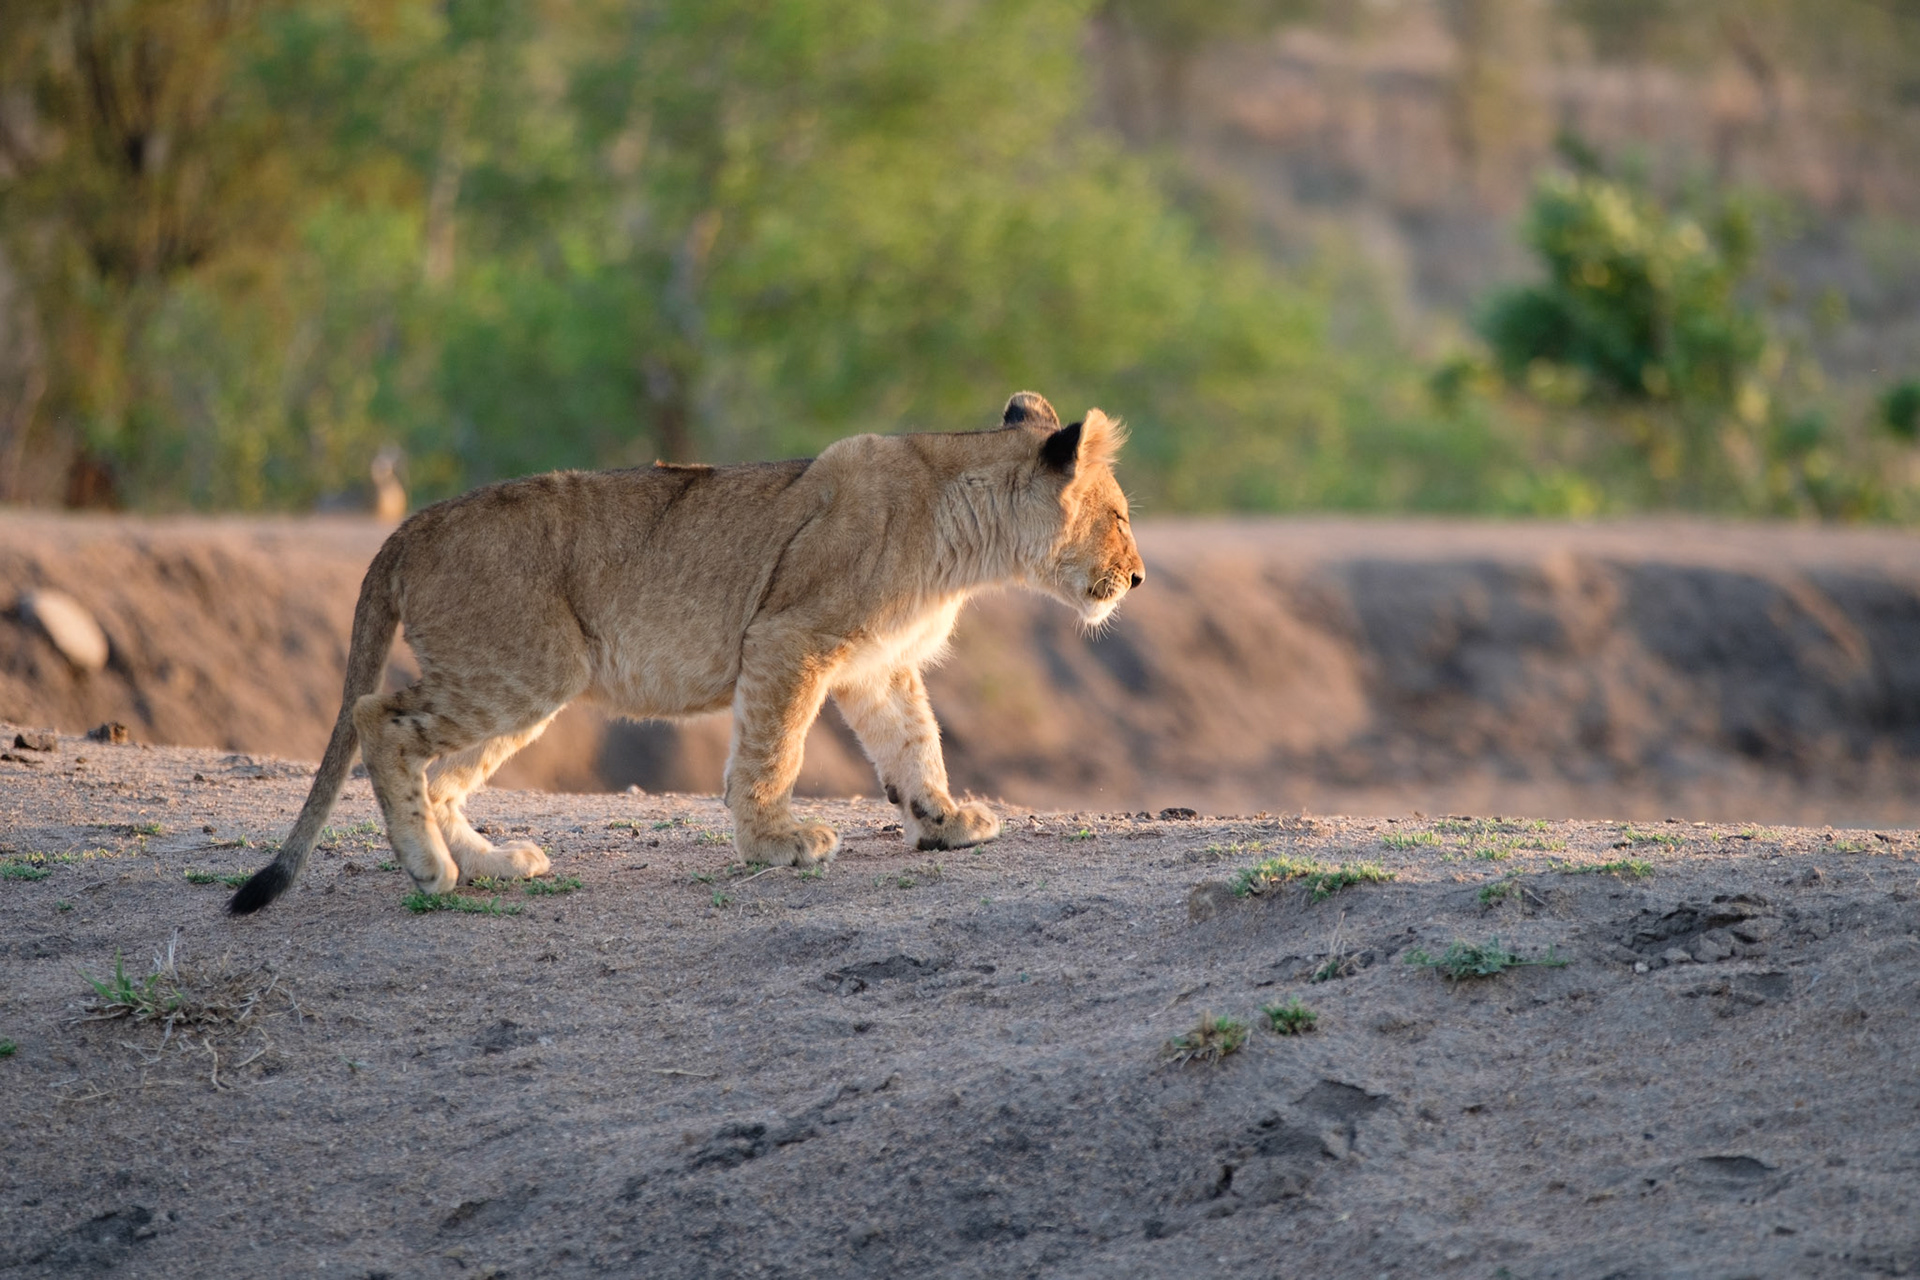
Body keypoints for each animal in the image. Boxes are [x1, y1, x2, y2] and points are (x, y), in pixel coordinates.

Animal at [228, 391, 1143, 915]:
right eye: (1122, 515)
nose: (1135, 578)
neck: (969, 535)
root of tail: (411, 525)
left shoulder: (876, 664)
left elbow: (915, 744)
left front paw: (945, 820)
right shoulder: (788, 637)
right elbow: (773, 751)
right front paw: (775, 844)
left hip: (527, 680)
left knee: (442, 771)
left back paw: (491, 862)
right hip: (520, 669)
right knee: (376, 717)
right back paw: (428, 870)